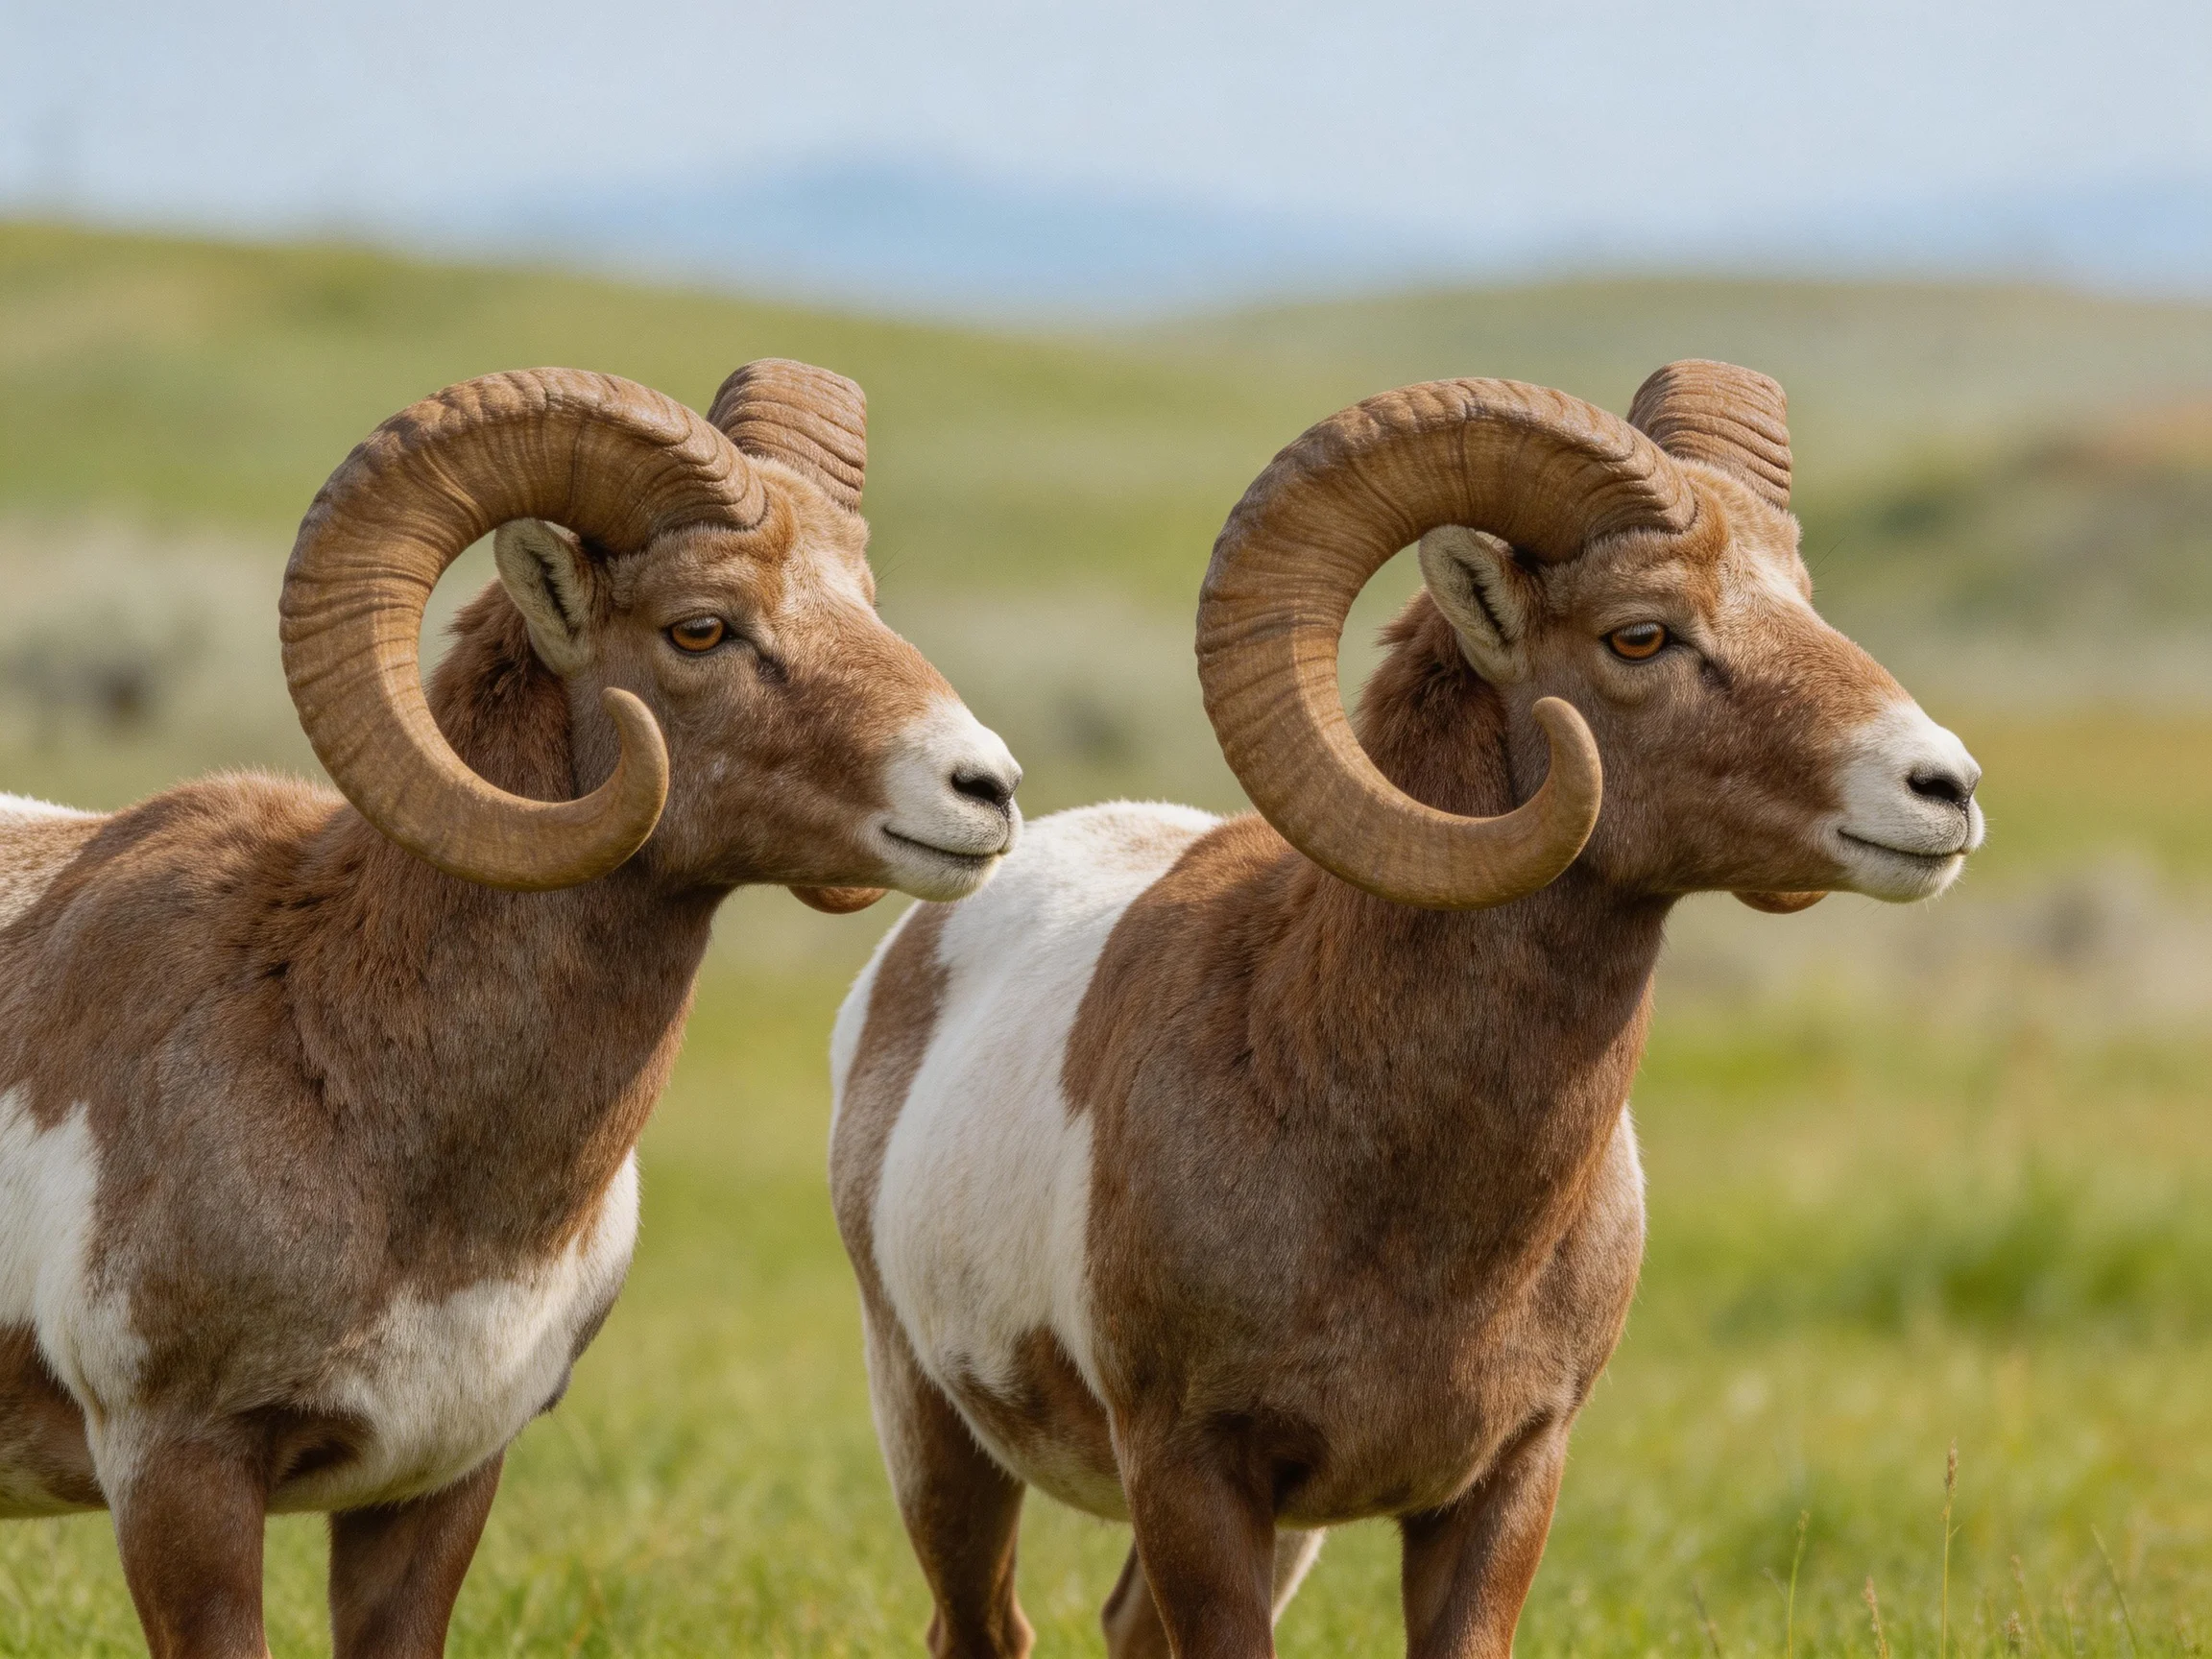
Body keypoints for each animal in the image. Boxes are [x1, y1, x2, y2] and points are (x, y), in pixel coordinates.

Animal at [830, 362, 1984, 1659]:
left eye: (1800, 598)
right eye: (1640, 633)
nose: (1942, 788)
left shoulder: (1503, 1483)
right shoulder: (1193, 1473)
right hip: (935, 1430)